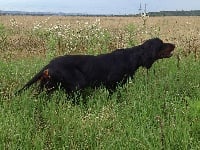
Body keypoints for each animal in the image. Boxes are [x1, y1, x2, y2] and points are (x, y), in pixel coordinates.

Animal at [16, 38, 175, 95]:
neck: (133, 57)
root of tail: (49, 64)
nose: (174, 44)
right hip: (76, 83)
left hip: (48, 86)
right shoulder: (111, 84)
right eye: (162, 44)